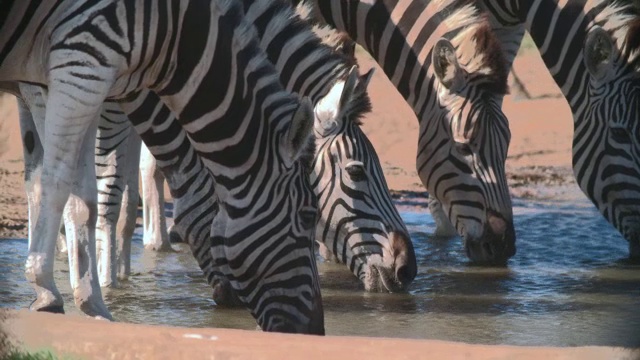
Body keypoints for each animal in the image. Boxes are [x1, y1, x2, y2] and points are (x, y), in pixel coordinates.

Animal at [0, 0, 324, 334]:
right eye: (309, 216)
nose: (316, 330)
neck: (174, 30)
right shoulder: (81, 61)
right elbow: (57, 182)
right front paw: (46, 286)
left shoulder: (77, 78)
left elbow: (84, 197)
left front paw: (92, 303)